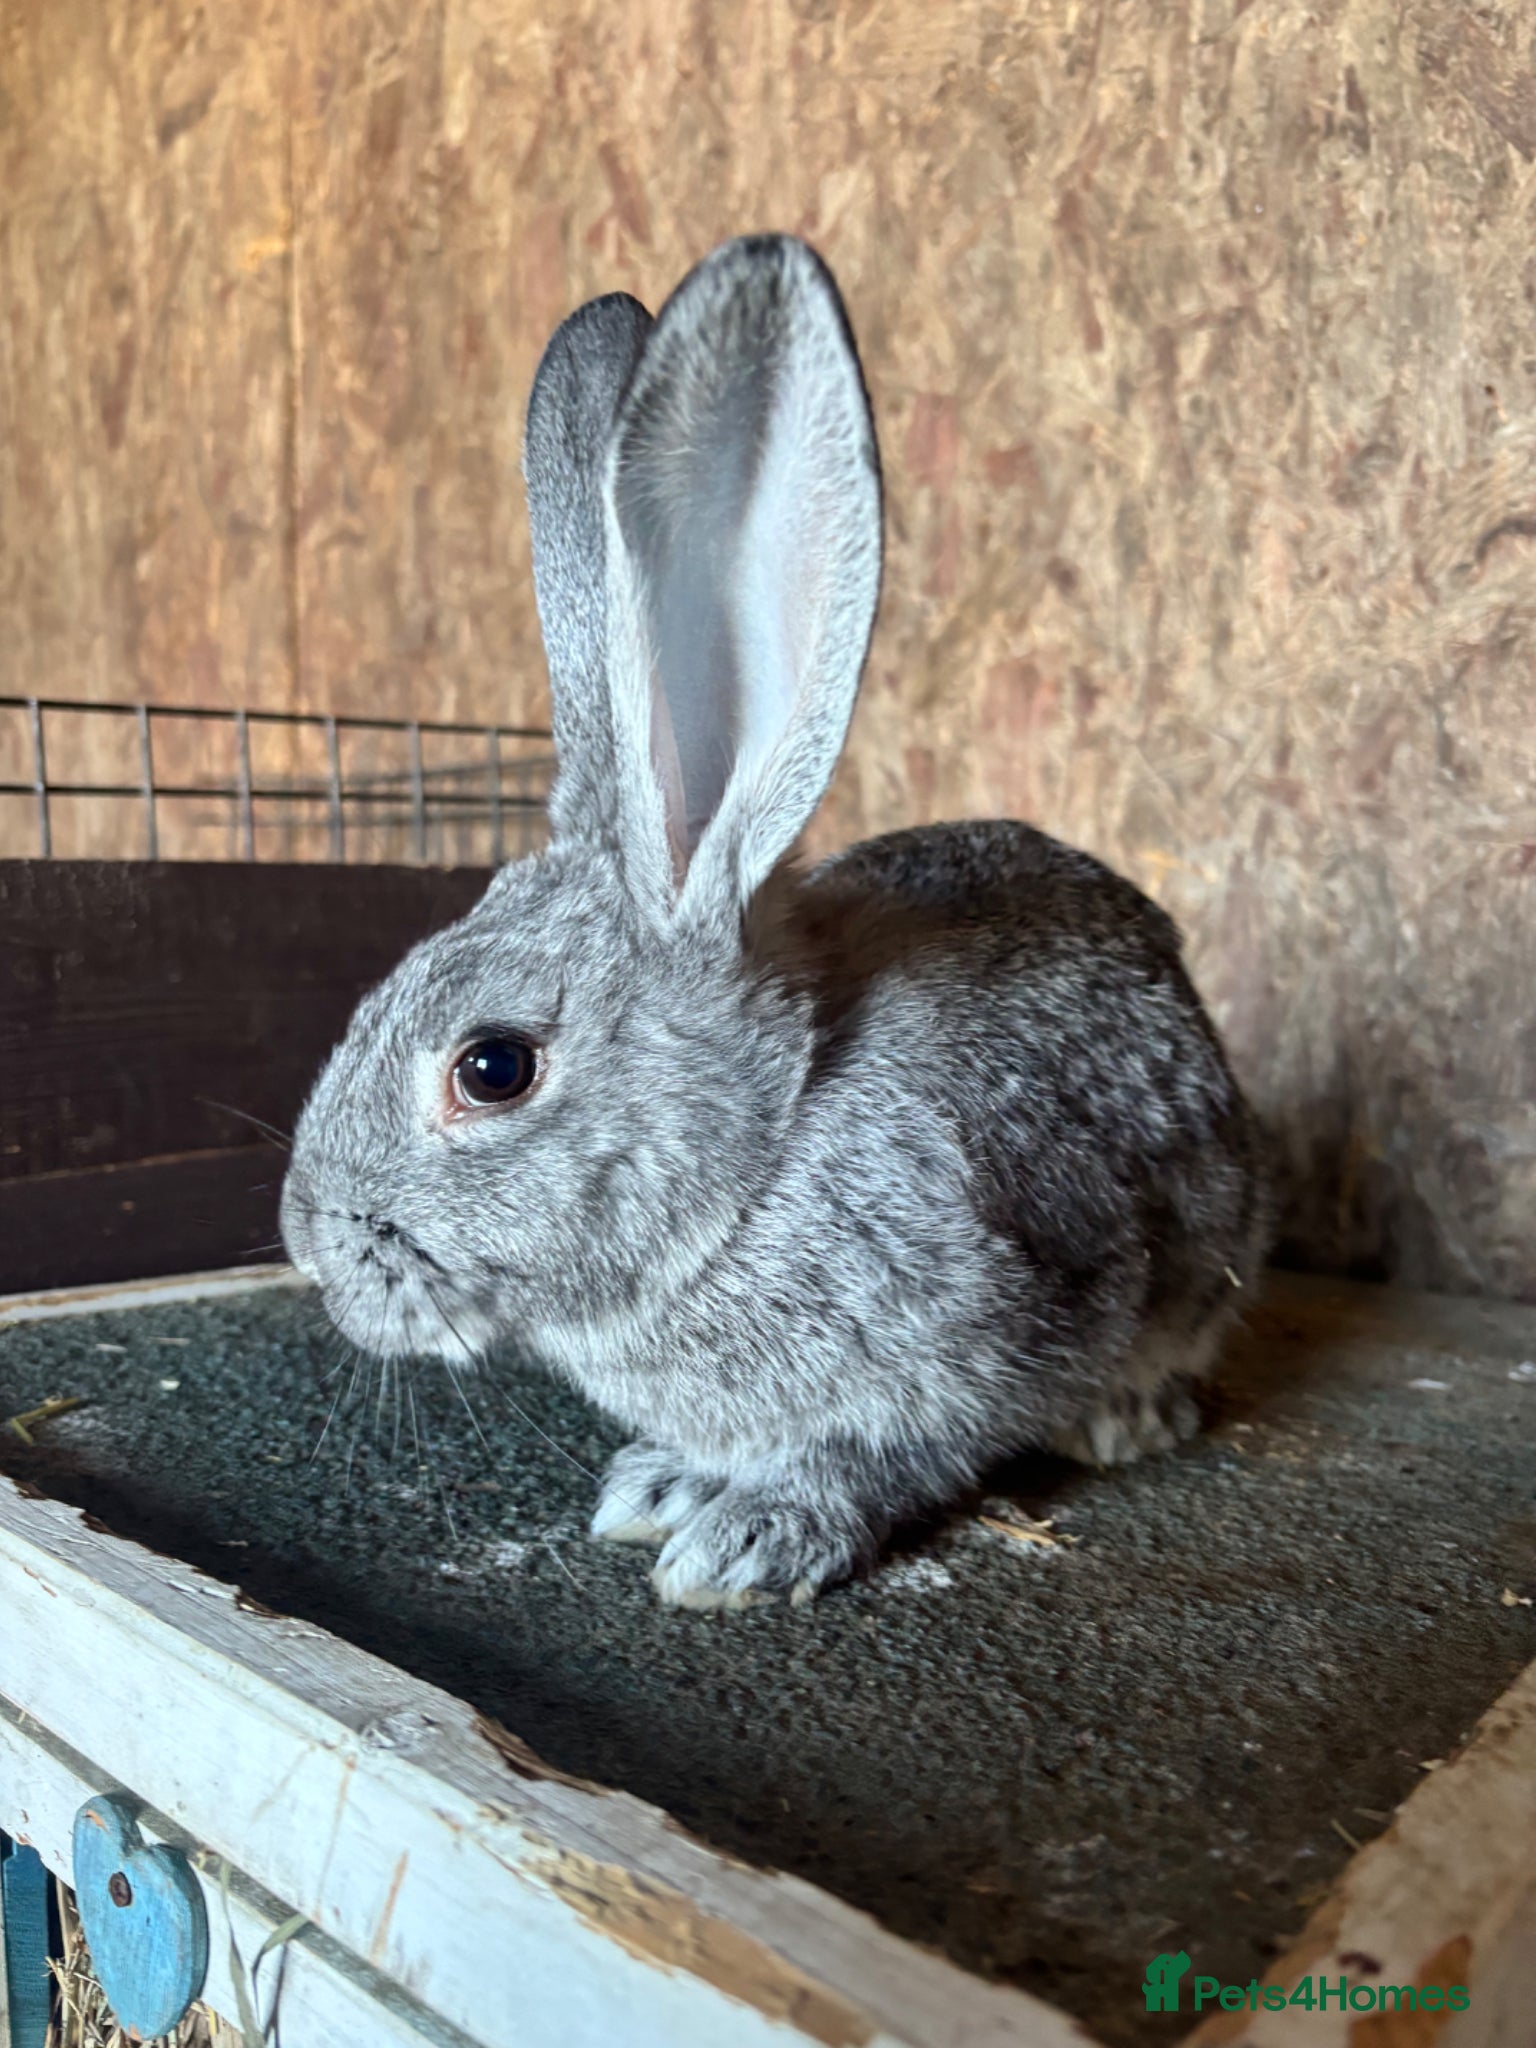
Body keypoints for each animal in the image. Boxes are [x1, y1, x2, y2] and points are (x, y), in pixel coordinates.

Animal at [280, 233, 1270, 1608]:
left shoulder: (970, 1337)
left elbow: (884, 1455)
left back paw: (1125, 1420)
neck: (760, 1159)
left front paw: (749, 1538)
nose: (308, 1246)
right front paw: (660, 1486)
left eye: (493, 1068)